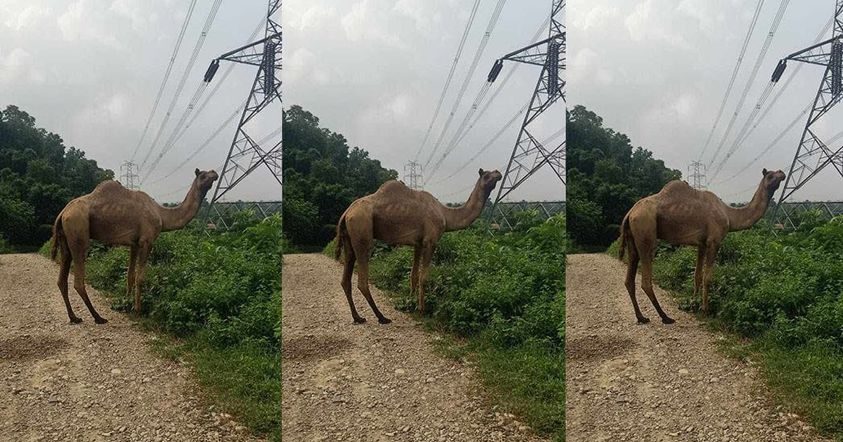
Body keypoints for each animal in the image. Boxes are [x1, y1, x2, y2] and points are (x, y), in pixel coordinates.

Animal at [49, 167, 219, 322]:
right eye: (203, 175)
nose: (215, 173)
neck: (162, 215)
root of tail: (62, 213)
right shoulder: (146, 241)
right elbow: (140, 277)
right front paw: (138, 310)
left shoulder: (134, 244)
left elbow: (130, 275)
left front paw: (126, 305)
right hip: (78, 227)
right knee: (78, 279)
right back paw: (98, 317)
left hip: (65, 237)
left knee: (62, 277)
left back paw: (74, 317)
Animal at [332, 167, 502, 322]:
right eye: (486, 175)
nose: (499, 173)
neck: (446, 215)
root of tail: (346, 213)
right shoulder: (430, 241)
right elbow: (424, 277)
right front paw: (422, 309)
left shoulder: (418, 243)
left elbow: (413, 275)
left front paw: (409, 304)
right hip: (362, 227)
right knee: (362, 279)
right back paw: (382, 317)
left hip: (349, 236)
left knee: (346, 277)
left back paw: (358, 317)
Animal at [616, 167, 788, 322]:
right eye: (770, 175)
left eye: (777, 172)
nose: (782, 173)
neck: (729, 215)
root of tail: (630, 213)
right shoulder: (714, 241)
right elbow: (708, 277)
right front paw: (705, 310)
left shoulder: (702, 244)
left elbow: (697, 276)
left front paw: (693, 305)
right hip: (645, 228)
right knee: (645, 279)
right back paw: (665, 317)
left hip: (633, 237)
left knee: (629, 277)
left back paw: (641, 317)